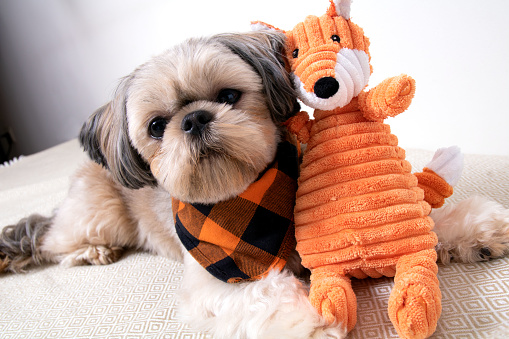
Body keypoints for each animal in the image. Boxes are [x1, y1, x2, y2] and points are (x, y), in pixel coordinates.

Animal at [0, 29, 508, 339]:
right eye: (157, 126)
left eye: (228, 96)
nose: (194, 119)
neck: (249, 200)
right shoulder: (217, 283)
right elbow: (266, 296)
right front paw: (315, 319)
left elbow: (418, 221)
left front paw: (474, 230)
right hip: (101, 213)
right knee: (53, 240)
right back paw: (89, 252)